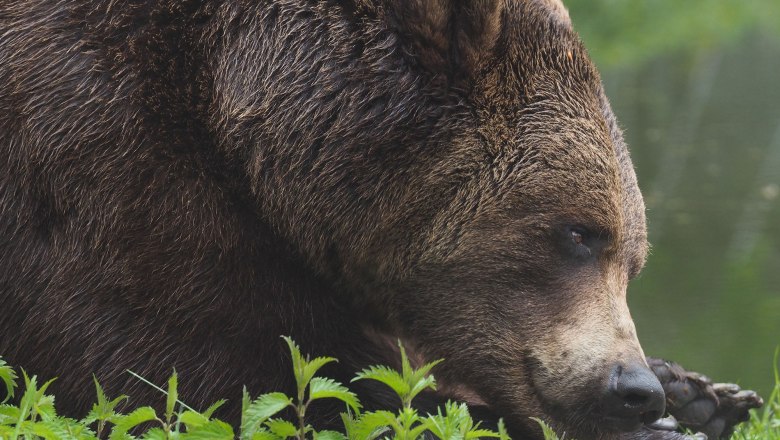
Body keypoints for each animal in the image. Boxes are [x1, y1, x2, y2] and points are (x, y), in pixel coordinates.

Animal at [0, 0, 760, 440]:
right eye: (578, 232)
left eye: (633, 260)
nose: (632, 390)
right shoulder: (96, 152)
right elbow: (203, 378)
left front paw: (705, 395)